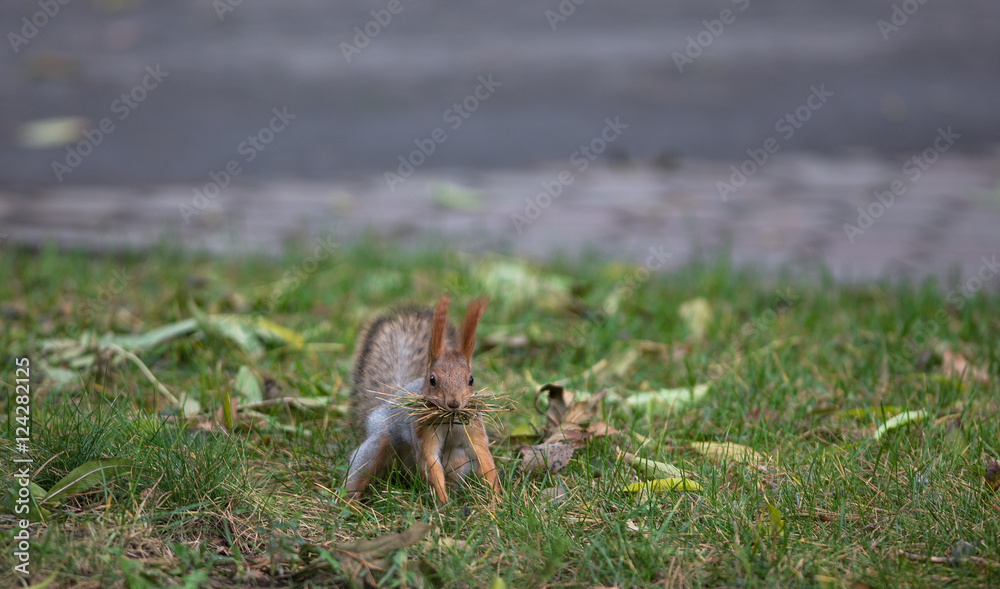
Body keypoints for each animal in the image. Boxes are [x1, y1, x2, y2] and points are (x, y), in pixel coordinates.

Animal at [345, 294, 500, 505]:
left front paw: (496, 500)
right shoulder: (422, 431)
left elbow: (483, 457)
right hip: (378, 442)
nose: (454, 403)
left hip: (457, 459)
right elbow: (430, 463)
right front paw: (443, 504)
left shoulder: (474, 427)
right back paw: (350, 502)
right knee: (360, 471)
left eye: (471, 379)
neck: (448, 420)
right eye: (432, 379)